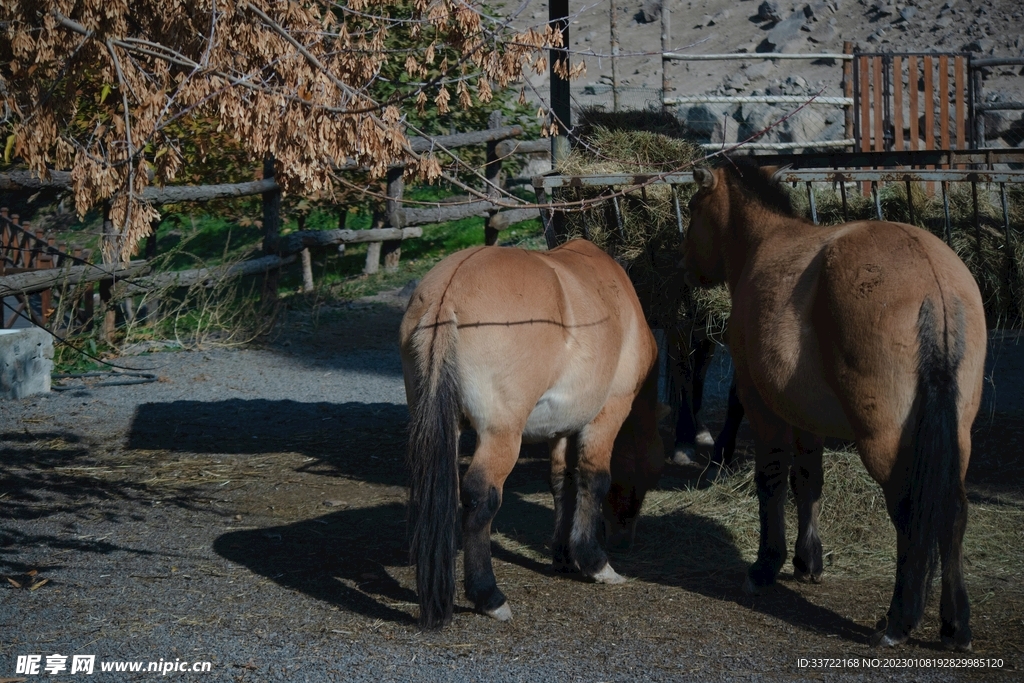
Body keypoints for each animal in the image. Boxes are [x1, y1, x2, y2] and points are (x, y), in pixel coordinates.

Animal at [400, 239, 666, 629]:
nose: (623, 539)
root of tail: (446, 295)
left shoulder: (562, 428)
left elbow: (562, 482)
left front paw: (564, 556)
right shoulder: (608, 413)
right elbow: (594, 479)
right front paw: (595, 562)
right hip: (501, 434)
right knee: (481, 498)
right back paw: (489, 596)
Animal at [680, 161, 986, 651]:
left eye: (693, 207)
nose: (684, 265)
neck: (766, 241)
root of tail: (932, 278)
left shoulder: (764, 407)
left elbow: (771, 479)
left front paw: (767, 564)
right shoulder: (805, 415)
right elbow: (808, 480)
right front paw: (808, 561)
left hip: (884, 440)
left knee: (909, 511)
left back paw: (899, 620)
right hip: (955, 434)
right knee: (952, 512)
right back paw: (955, 625)